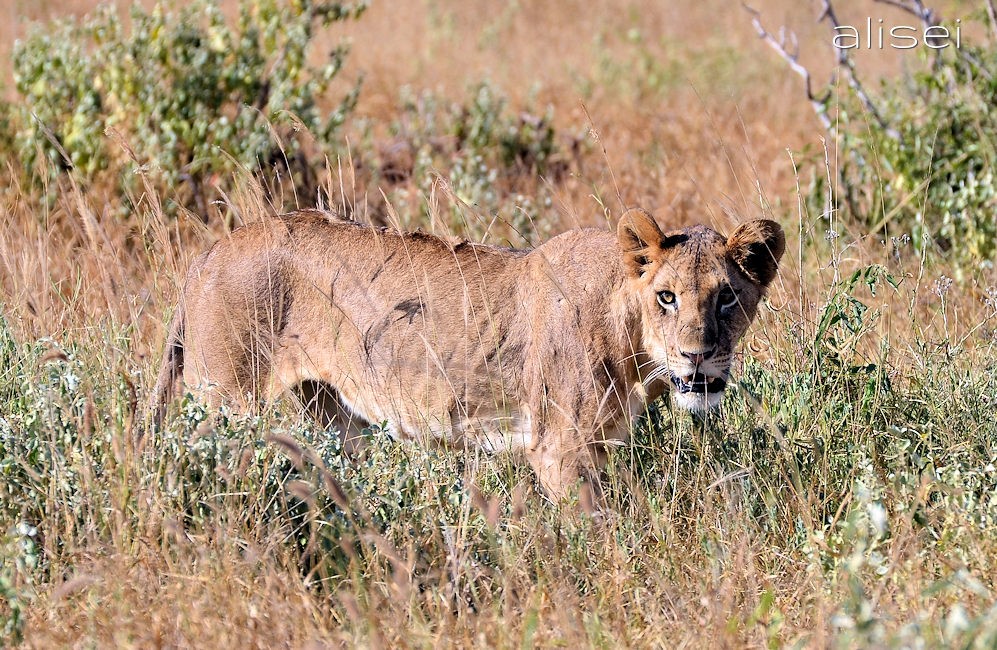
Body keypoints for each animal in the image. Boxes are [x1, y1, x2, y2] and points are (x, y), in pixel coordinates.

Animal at [150, 208, 784, 504]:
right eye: (667, 297)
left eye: (727, 296)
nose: (698, 356)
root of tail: (207, 254)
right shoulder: (560, 449)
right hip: (225, 405)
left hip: (332, 413)